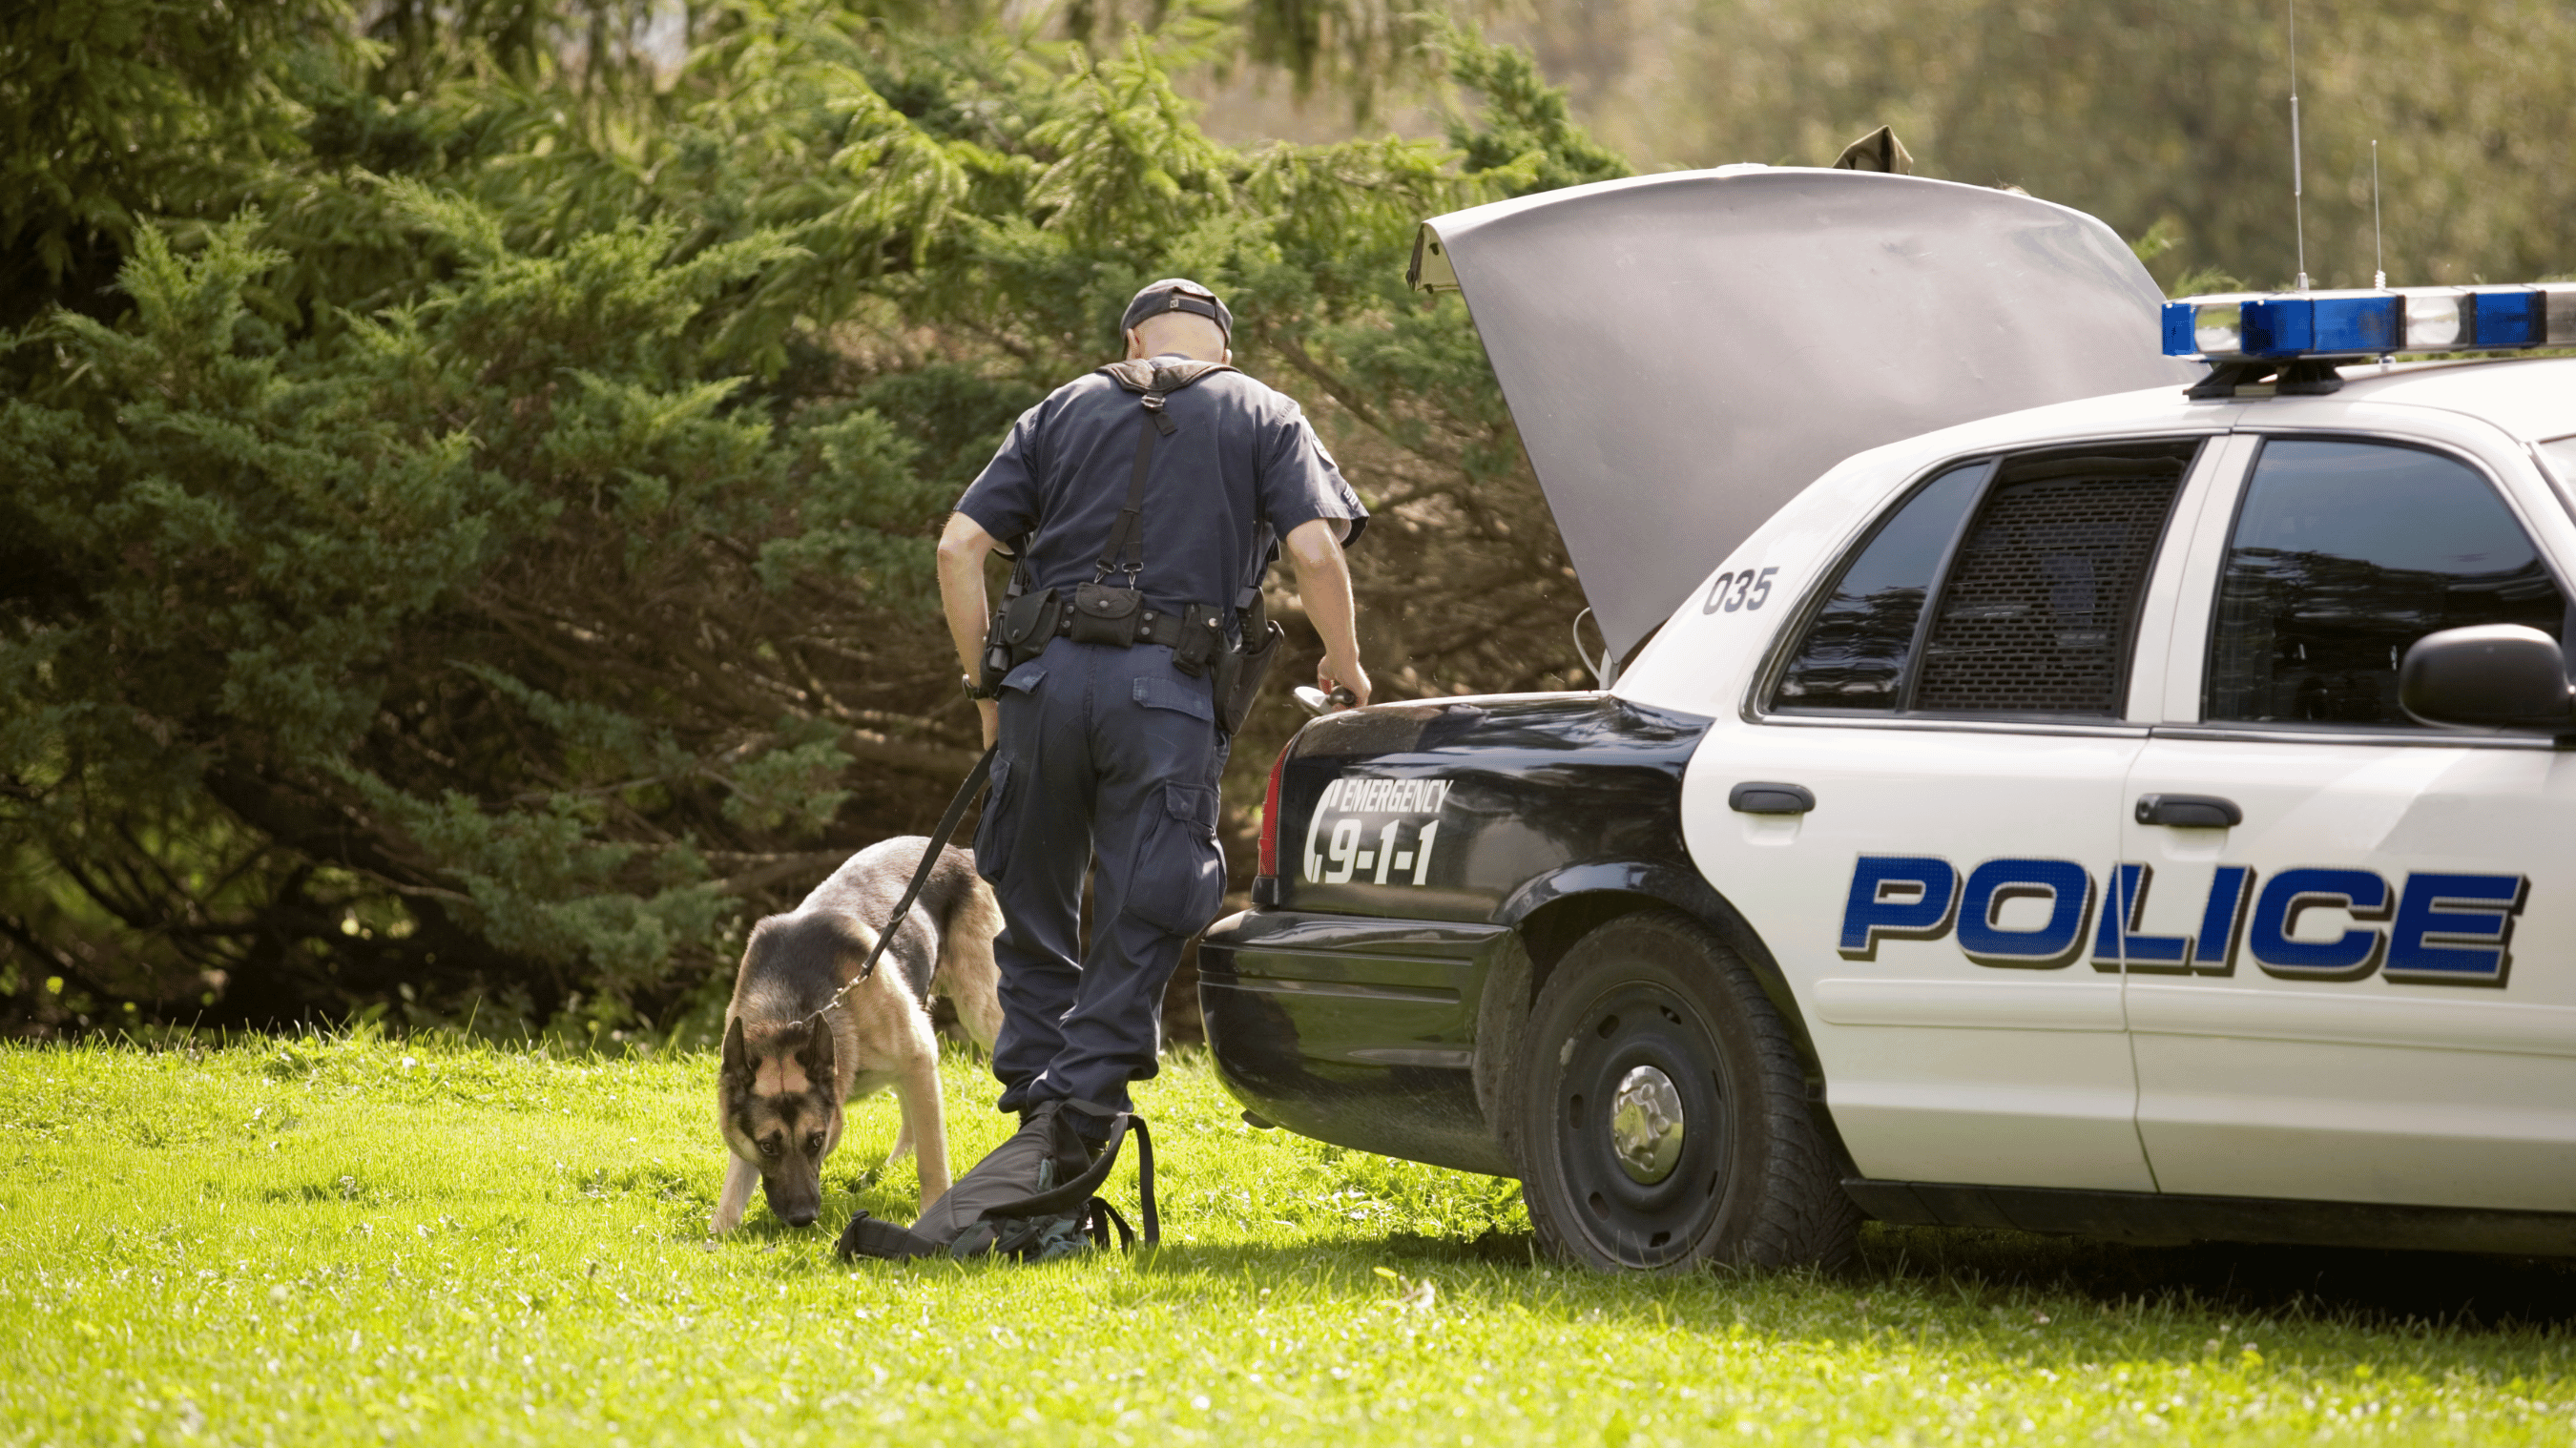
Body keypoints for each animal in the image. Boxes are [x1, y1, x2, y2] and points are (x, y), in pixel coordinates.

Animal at [726, 835, 1014, 1226]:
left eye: (816, 1140)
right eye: (767, 1145)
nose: (802, 1218)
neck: (789, 1018)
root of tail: (960, 852)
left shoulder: (918, 1055)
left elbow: (932, 1160)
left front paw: (933, 1214)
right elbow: (732, 1192)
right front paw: (719, 1232)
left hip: (979, 1010)